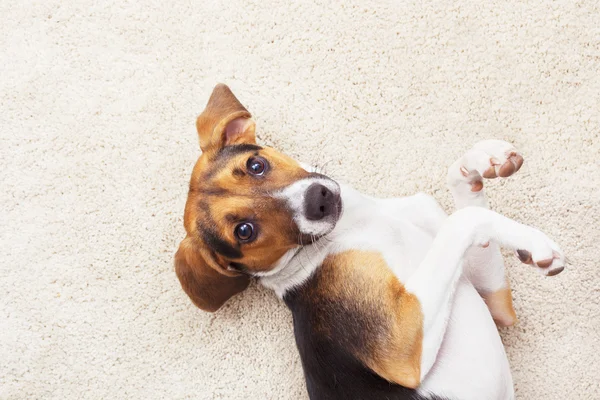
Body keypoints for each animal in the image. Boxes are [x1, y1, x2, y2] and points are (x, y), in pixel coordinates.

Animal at [175, 84, 568, 400]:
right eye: (245, 231)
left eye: (255, 165)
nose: (317, 200)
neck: (355, 223)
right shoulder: (403, 345)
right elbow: (465, 221)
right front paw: (537, 244)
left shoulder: (498, 304)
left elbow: (464, 198)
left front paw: (484, 160)